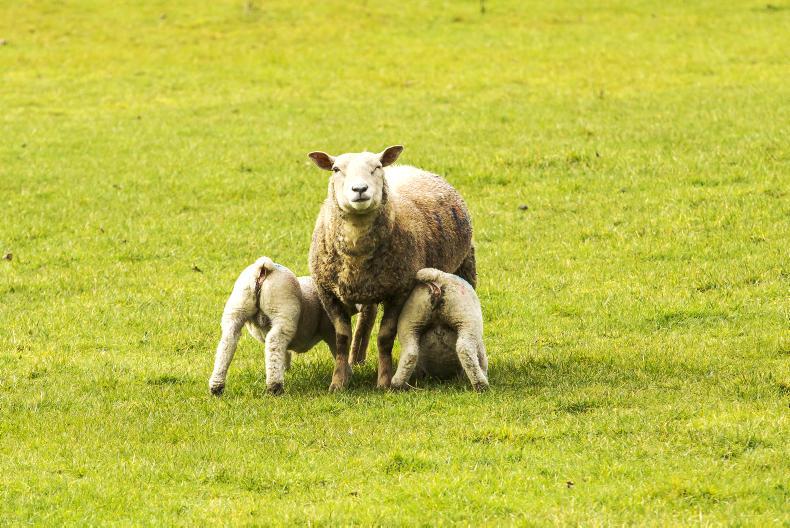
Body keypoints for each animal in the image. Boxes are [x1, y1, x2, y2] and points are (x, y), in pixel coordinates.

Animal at [208, 256, 372, 396]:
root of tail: (264, 268)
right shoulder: (331, 330)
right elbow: (338, 349)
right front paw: (348, 373)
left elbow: (285, 352)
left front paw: (285, 368)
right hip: (283, 311)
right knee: (274, 343)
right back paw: (275, 387)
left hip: (237, 307)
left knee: (228, 342)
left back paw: (217, 386)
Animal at [308, 145, 476, 391]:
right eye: (336, 169)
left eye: (377, 167)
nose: (360, 189)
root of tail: (407, 167)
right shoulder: (327, 292)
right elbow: (342, 338)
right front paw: (339, 382)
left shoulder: (400, 291)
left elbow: (385, 337)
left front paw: (385, 382)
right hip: (369, 286)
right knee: (366, 317)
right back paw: (356, 360)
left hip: (465, 266)